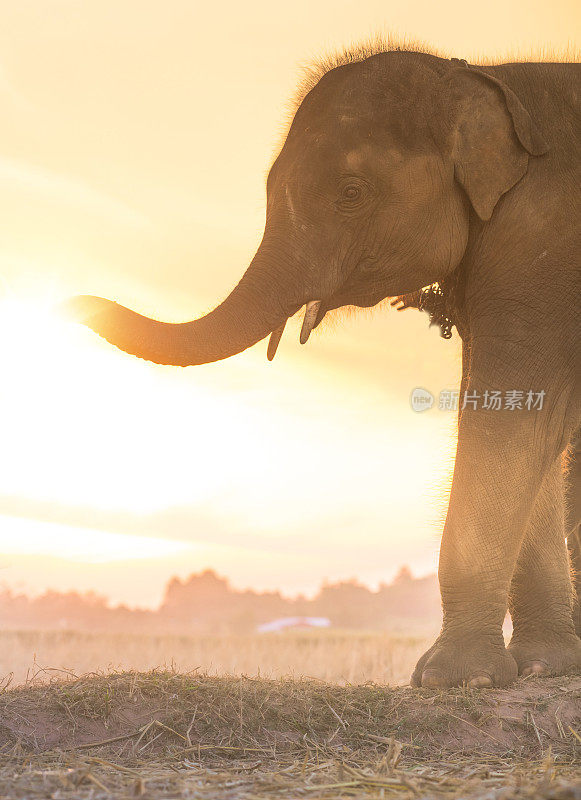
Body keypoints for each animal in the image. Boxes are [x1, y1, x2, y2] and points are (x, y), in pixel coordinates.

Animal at [64, 45, 580, 688]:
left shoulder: (541, 243)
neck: (482, 78)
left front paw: (453, 680)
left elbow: (512, 417)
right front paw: (542, 670)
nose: (67, 303)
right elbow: (533, 424)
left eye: (352, 192)